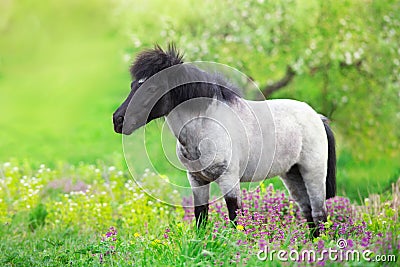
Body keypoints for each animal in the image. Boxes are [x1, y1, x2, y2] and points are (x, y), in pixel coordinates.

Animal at [114, 44, 336, 239]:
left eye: (152, 88)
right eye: (133, 85)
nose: (118, 120)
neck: (206, 125)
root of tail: (318, 117)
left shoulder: (229, 180)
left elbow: (235, 218)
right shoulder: (197, 180)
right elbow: (201, 217)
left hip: (313, 173)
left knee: (319, 214)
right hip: (292, 175)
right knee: (308, 213)